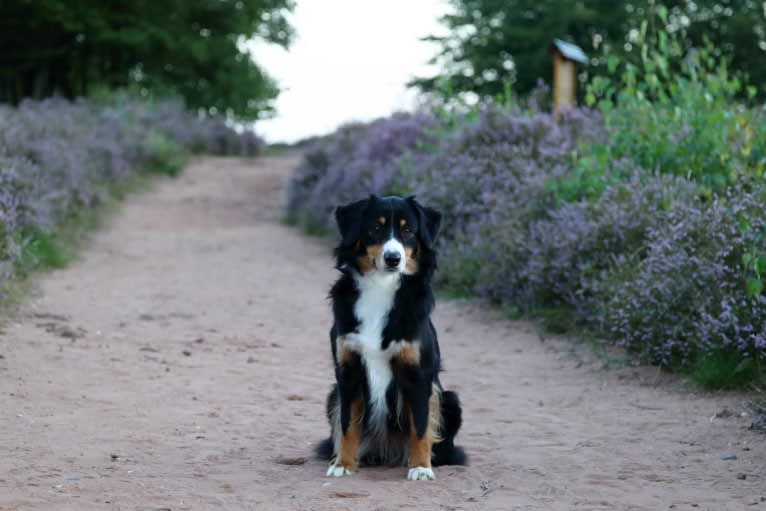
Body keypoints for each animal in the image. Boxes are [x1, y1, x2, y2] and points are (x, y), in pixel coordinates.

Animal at [318, 195, 468, 480]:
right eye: (375, 228)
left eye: (408, 230)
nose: (393, 258)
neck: (380, 288)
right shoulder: (348, 370)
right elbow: (347, 423)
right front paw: (343, 464)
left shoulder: (417, 373)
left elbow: (420, 425)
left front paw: (420, 467)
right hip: (332, 394)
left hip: (450, 400)